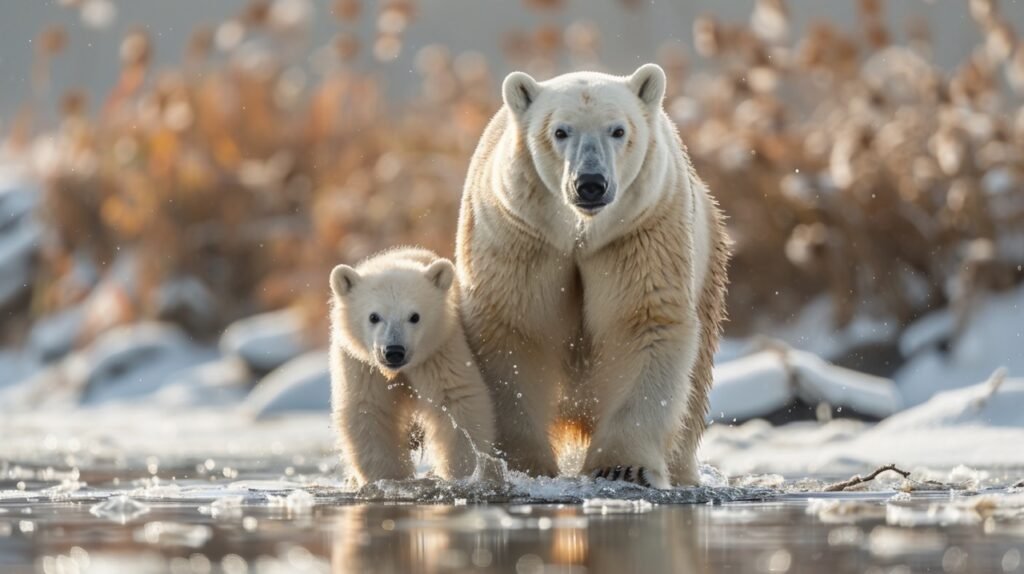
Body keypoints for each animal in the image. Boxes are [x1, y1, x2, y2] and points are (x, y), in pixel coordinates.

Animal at [456, 62, 729, 484]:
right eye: (560, 131)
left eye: (617, 130)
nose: (590, 184)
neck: (579, 231)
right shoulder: (520, 235)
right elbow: (514, 329)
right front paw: (522, 465)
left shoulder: (638, 232)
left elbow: (641, 321)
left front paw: (623, 467)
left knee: (694, 387)